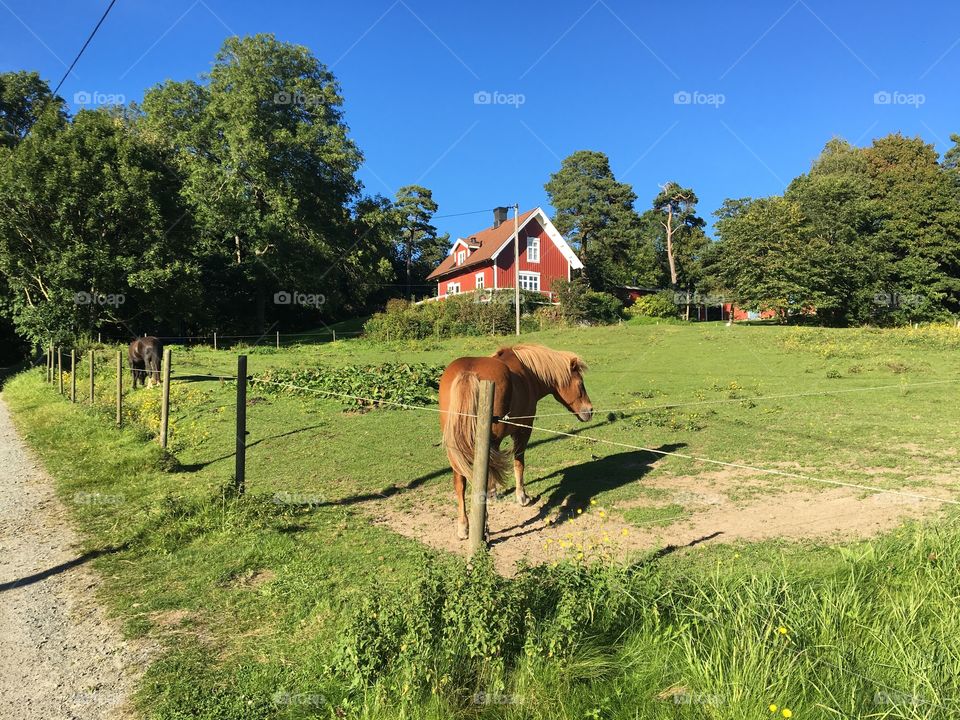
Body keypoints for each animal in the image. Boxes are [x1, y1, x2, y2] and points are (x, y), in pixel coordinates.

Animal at [436, 344, 592, 540]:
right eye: (580, 384)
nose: (590, 411)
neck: (529, 373)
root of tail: (467, 373)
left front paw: (495, 494)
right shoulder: (523, 430)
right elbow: (519, 463)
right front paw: (522, 497)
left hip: (456, 448)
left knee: (460, 483)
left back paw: (464, 527)